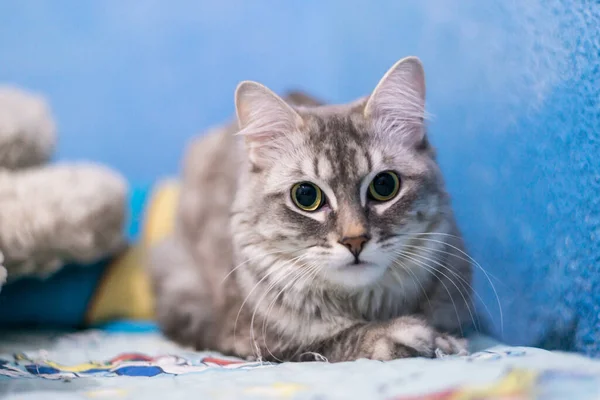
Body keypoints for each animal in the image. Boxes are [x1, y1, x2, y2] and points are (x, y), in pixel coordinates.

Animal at [149, 57, 474, 362]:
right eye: (306, 196)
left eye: (384, 186)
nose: (354, 240)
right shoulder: (255, 339)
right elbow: (337, 339)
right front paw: (412, 336)